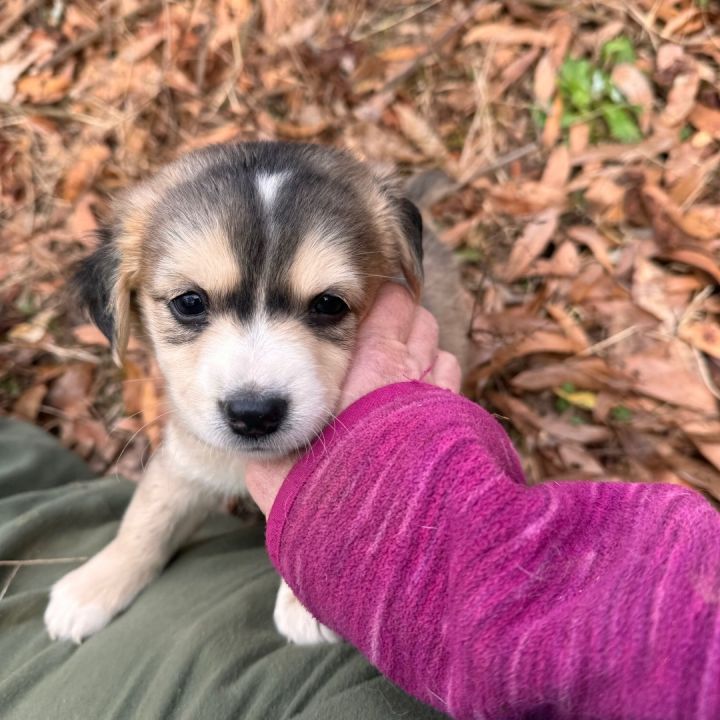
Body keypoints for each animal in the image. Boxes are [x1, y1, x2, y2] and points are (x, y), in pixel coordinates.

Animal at [46, 141, 472, 640]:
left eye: (329, 304)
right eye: (189, 302)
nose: (253, 415)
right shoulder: (187, 457)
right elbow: (147, 518)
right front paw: (93, 585)